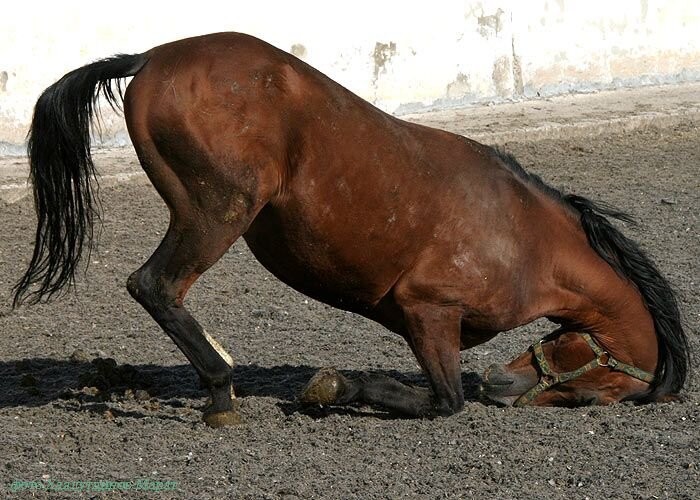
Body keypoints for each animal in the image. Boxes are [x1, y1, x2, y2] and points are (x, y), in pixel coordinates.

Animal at [12, 32, 688, 426]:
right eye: (593, 394)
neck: (525, 240)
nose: (501, 386)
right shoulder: (427, 311)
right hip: (217, 211)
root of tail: (151, 58)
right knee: (155, 285)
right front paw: (334, 388)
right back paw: (222, 392)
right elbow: (444, 401)